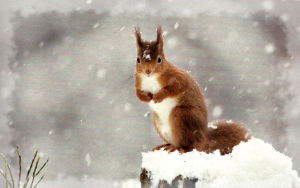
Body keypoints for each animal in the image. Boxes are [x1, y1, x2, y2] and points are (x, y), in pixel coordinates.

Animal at [135, 26, 250, 156]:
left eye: (159, 59)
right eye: (138, 59)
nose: (147, 71)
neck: (151, 79)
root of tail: (204, 139)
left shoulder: (177, 78)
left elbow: (175, 88)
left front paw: (159, 96)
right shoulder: (139, 83)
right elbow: (138, 94)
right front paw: (146, 97)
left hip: (181, 116)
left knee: (190, 146)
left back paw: (178, 148)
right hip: (158, 122)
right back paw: (165, 145)